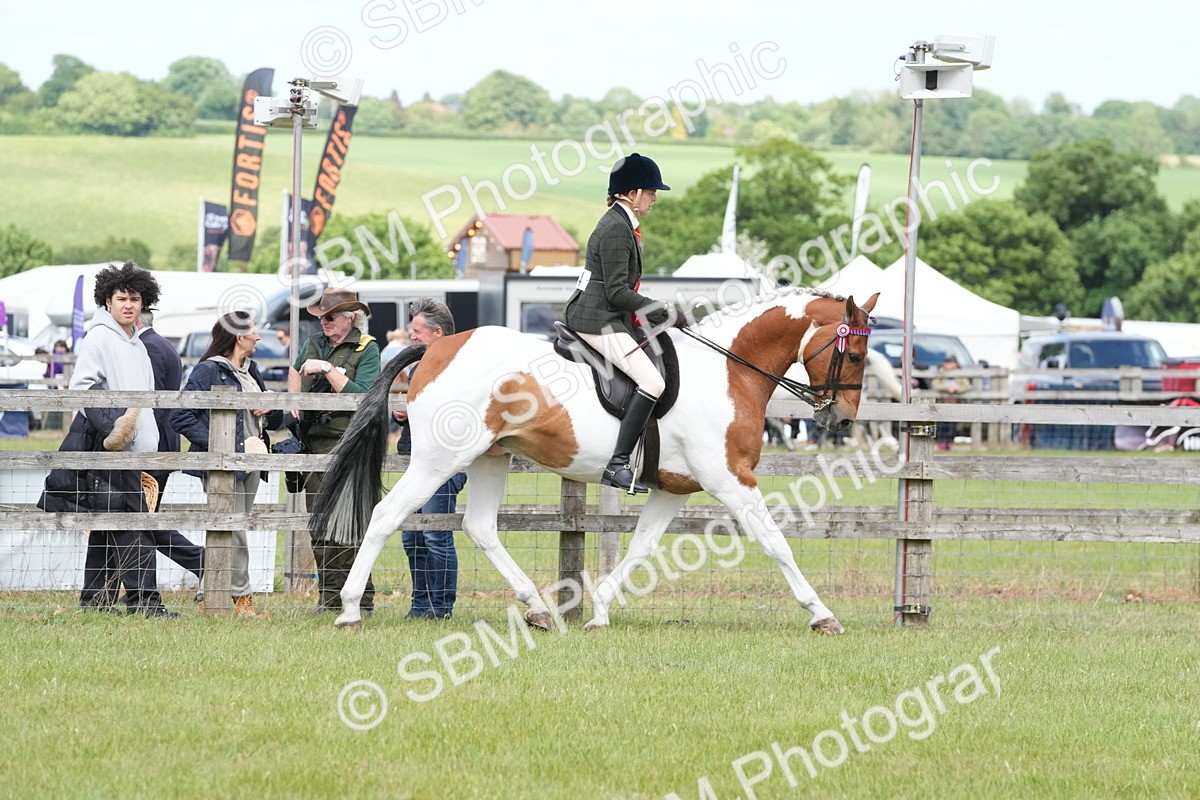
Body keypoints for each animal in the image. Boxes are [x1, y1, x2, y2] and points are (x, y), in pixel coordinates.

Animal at [311, 288, 880, 633]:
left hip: (490, 456)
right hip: (437, 458)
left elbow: (641, 547)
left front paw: (600, 610)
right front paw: (822, 614)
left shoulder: (674, 488)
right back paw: (349, 611)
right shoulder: (730, 479)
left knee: (481, 527)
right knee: (386, 515)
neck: (727, 369)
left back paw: (539, 609)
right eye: (853, 355)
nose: (843, 419)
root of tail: (435, 349)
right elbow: (776, 543)